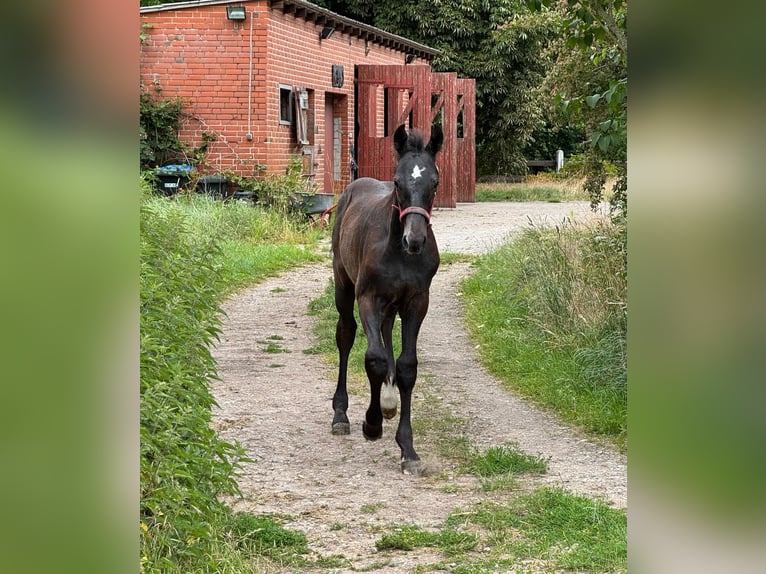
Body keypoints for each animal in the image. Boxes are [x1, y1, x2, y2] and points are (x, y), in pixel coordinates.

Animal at [330, 123, 444, 475]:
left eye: (434, 182)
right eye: (397, 181)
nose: (414, 240)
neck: (398, 252)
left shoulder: (417, 302)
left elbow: (407, 366)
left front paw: (408, 449)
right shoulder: (368, 297)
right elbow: (375, 359)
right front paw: (372, 423)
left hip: (393, 306)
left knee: (386, 332)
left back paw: (389, 402)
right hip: (343, 285)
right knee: (346, 334)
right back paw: (341, 414)